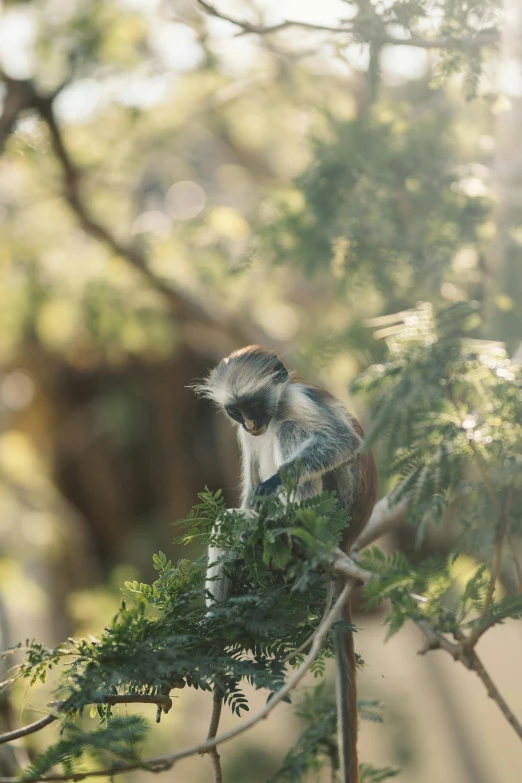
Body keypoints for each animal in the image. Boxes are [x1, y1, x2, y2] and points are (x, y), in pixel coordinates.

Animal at [193, 344, 376, 783]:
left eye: (256, 405)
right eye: (236, 412)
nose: (253, 422)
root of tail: (348, 538)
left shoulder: (294, 400)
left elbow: (343, 441)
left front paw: (272, 486)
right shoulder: (245, 435)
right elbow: (243, 498)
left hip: (330, 512)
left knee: (294, 433)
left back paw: (286, 529)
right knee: (230, 522)